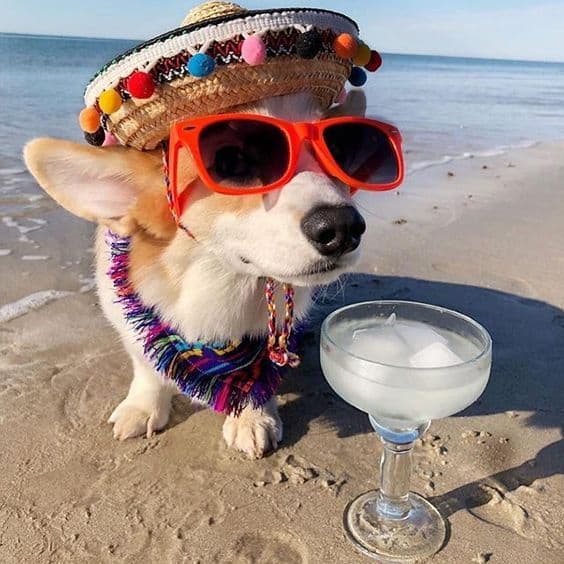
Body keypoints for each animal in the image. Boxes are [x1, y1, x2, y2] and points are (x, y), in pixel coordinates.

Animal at [24, 91, 370, 458]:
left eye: (338, 151)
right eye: (231, 161)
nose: (343, 228)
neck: (217, 288)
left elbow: (258, 373)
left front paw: (252, 417)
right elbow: (147, 365)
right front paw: (143, 408)